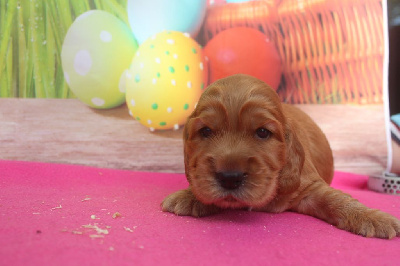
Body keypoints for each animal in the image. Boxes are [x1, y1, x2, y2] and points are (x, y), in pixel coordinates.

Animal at [161, 74, 398, 238]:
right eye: (206, 131)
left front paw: (372, 217)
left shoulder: (310, 187)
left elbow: (336, 199)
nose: (229, 178)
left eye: (262, 132)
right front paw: (189, 196)